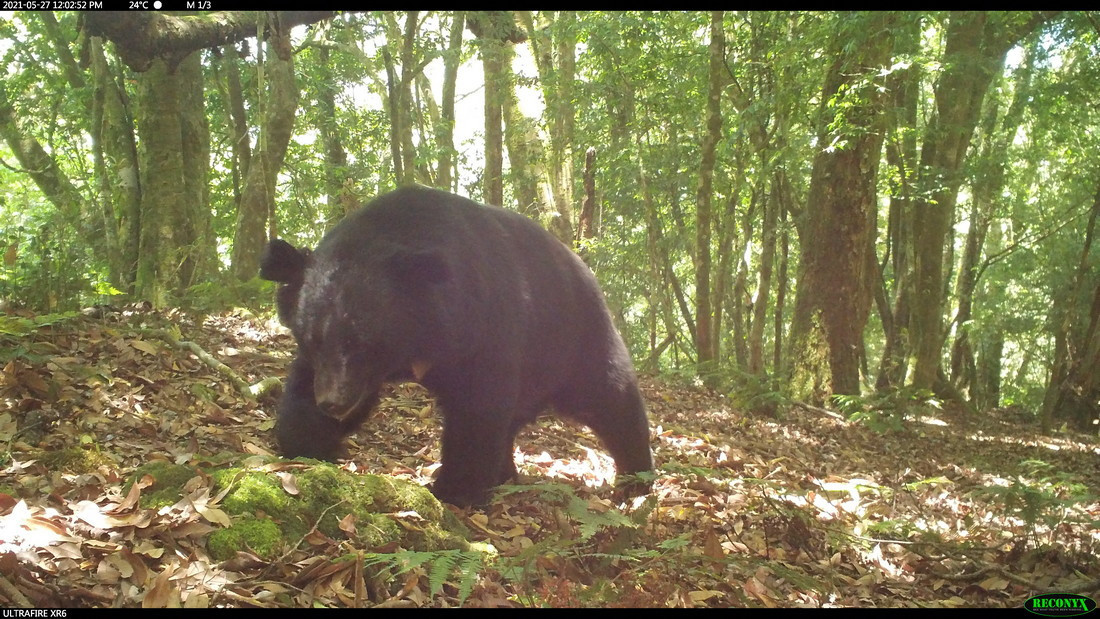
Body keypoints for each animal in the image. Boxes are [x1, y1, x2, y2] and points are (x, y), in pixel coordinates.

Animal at [259, 185, 651, 507]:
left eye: (365, 342)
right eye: (311, 338)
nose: (333, 403)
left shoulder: (483, 325)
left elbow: (478, 406)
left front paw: (455, 488)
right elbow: (304, 383)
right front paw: (306, 439)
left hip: (573, 341)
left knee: (612, 399)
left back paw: (637, 480)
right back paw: (505, 472)